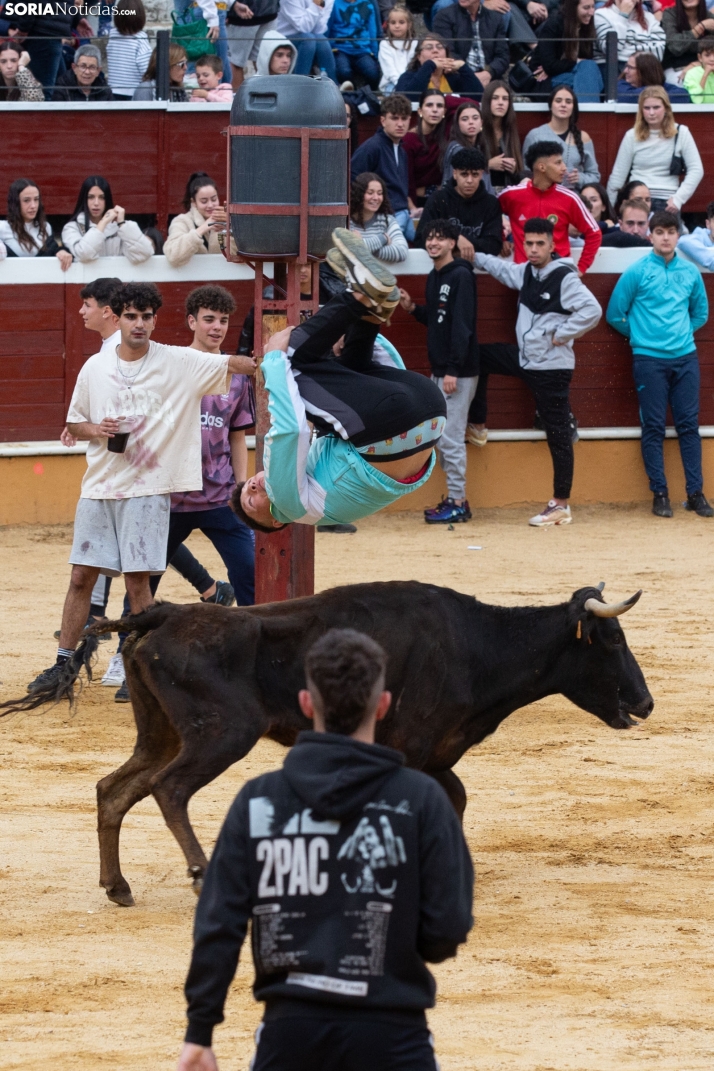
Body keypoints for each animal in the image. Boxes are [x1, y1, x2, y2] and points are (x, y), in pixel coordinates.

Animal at [85, 586, 659, 903]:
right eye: (613, 641)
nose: (646, 702)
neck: (476, 644)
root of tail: (167, 613)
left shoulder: (431, 753)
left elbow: (455, 799)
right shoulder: (413, 746)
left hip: (161, 734)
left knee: (114, 789)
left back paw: (117, 886)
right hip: (223, 732)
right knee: (169, 789)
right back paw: (200, 875)